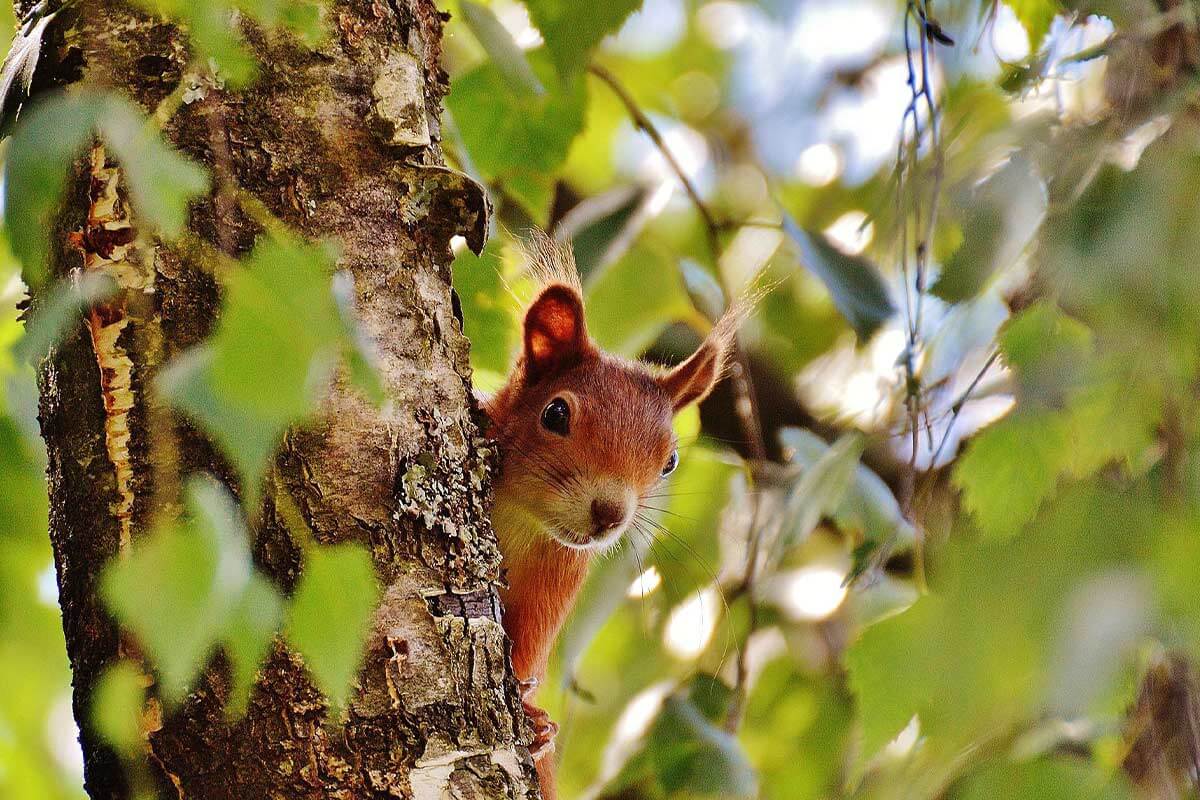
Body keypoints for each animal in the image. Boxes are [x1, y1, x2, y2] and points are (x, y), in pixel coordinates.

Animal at [477, 235, 729, 796]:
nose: (610, 513)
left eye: (670, 461)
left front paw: (534, 722)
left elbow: (527, 644)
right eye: (555, 413)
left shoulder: (556, 575)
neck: (521, 520)